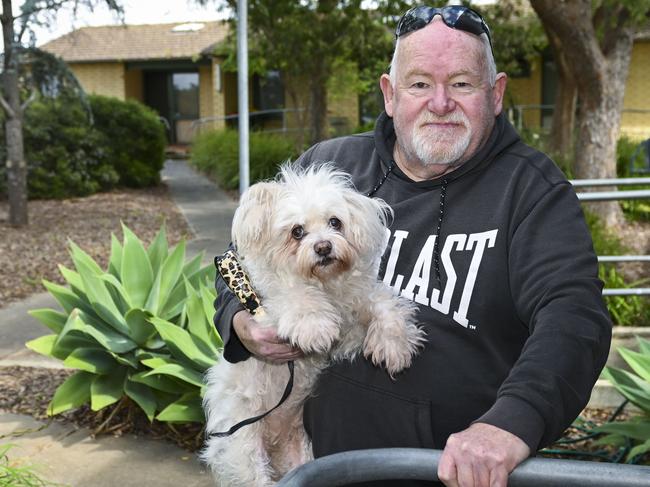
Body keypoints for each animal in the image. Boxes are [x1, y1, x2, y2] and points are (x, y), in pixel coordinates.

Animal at [202, 165, 426, 487]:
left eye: (335, 222)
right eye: (297, 231)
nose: (323, 247)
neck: (325, 284)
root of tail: (274, 441)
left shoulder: (350, 322)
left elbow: (382, 303)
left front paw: (393, 344)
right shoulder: (269, 309)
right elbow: (296, 295)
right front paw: (313, 324)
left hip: (301, 453)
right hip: (243, 452)